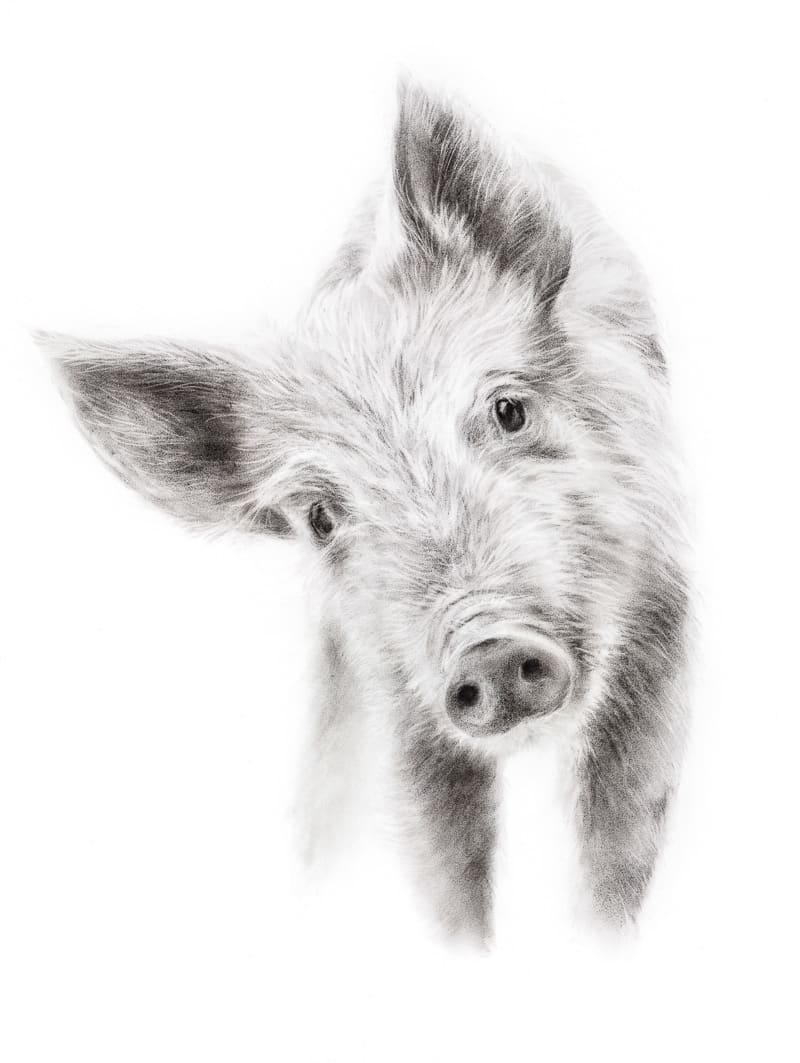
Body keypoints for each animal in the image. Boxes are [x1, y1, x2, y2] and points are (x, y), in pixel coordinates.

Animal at [41, 80, 690, 945]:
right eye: (321, 514)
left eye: (509, 410)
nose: (486, 644)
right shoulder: (400, 684)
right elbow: (441, 863)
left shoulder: (661, 616)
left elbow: (623, 832)